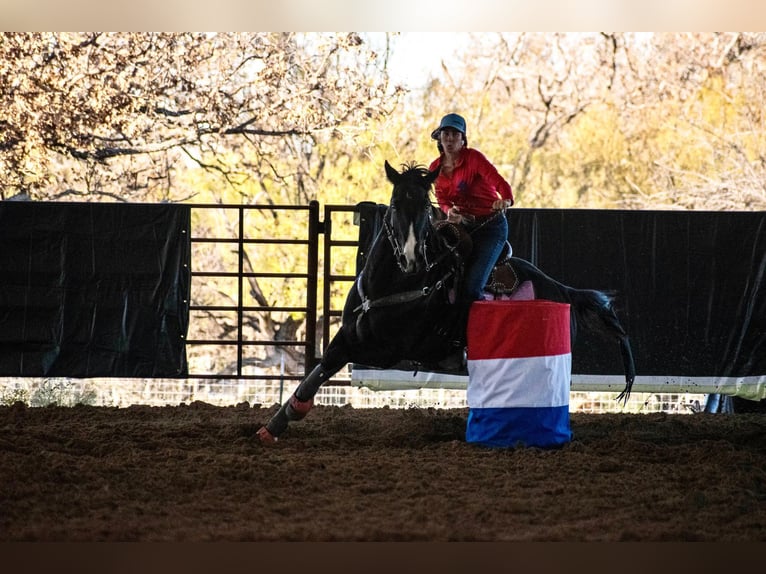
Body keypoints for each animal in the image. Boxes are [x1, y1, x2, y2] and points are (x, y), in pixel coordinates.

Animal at [260, 162, 640, 446]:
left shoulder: (386, 350)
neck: (398, 283)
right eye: (395, 205)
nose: (412, 258)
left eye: (425, 208)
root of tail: (562, 290)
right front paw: (276, 423)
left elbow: (330, 365)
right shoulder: (349, 334)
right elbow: (319, 369)